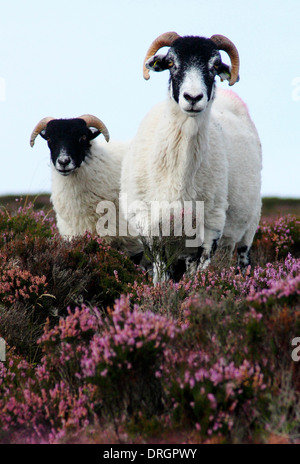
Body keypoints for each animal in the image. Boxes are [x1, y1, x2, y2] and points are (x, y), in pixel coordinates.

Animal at [120, 30, 262, 280]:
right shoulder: (149, 224)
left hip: (249, 225)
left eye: (214, 65)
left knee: (243, 258)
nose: (193, 97)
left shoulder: (212, 224)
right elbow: (160, 271)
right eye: (171, 63)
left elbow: (200, 270)